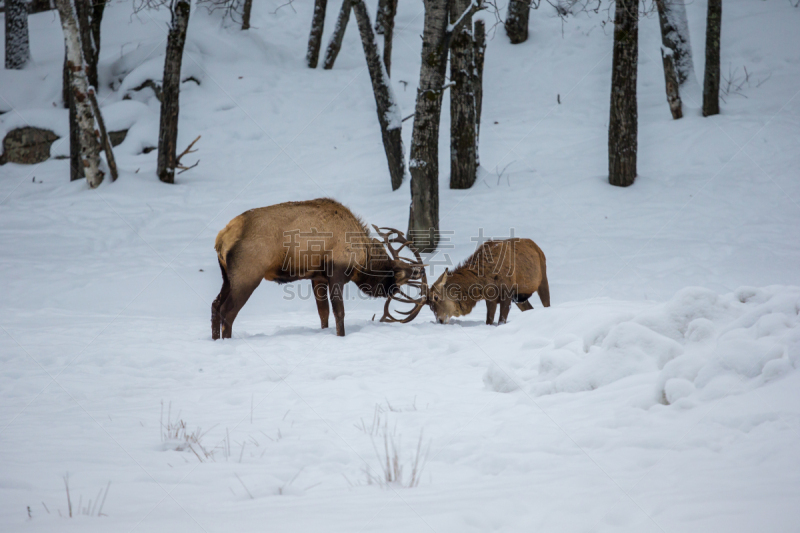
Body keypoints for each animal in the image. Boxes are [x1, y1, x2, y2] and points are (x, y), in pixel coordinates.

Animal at [211, 197, 424, 338]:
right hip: (247, 274)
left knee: (215, 305)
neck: (362, 257)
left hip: (226, 276)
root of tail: (222, 237)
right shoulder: (337, 272)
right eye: (394, 274)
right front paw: (341, 335)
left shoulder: (317, 277)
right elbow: (339, 312)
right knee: (227, 310)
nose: (418, 270)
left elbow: (323, 313)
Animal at [424, 238, 552, 324]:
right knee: (529, 308)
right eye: (429, 305)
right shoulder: (490, 297)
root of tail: (537, 247)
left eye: (436, 297)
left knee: (547, 304)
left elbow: (501, 321)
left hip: (543, 280)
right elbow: (489, 320)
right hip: (519, 297)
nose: (439, 320)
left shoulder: (507, 293)